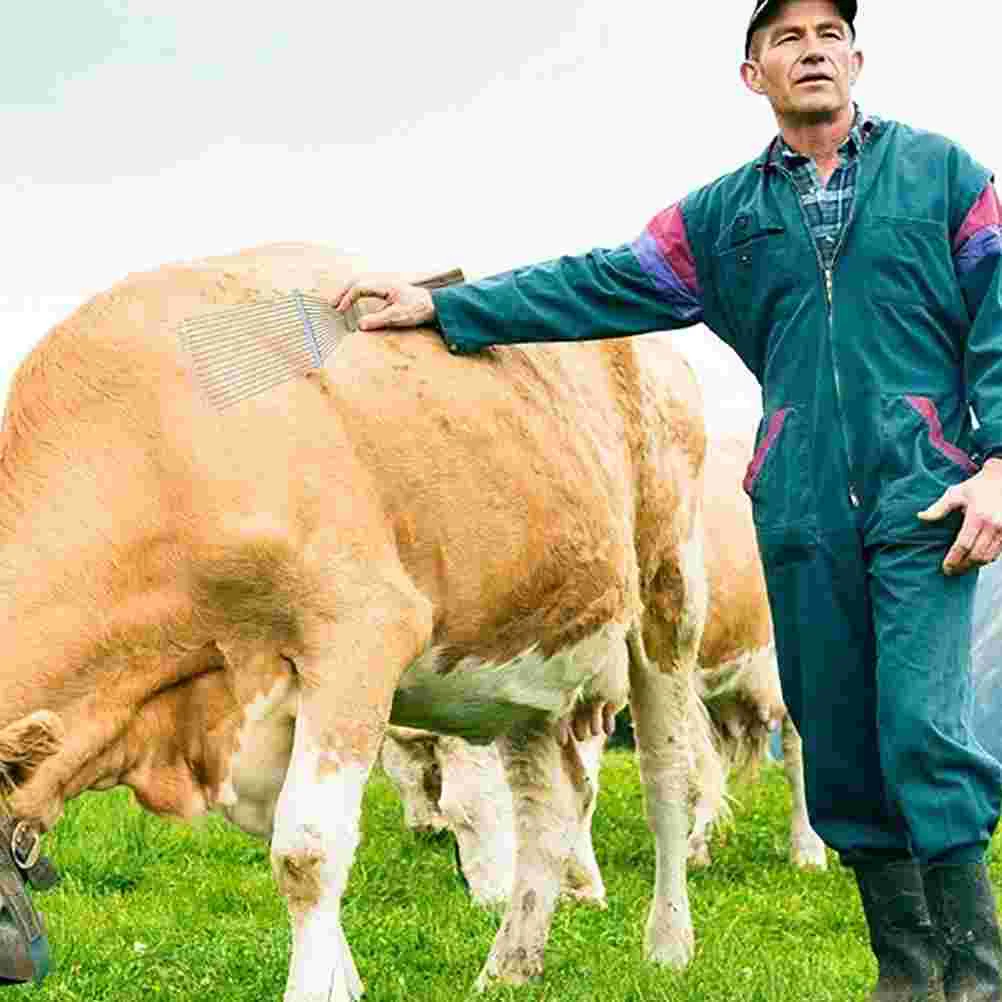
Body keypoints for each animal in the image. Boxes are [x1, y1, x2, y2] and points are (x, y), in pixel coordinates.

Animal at [3, 240, 717, 993]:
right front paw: (343, 982)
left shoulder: (360, 635)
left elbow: (306, 851)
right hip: (529, 653)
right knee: (550, 807)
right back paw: (510, 966)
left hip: (670, 599)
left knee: (666, 778)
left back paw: (669, 945)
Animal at [378, 434, 825, 905]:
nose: (492, 902)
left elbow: (584, 784)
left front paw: (581, 882)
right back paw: (698, 849)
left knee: (797, 751)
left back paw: (807, 851)